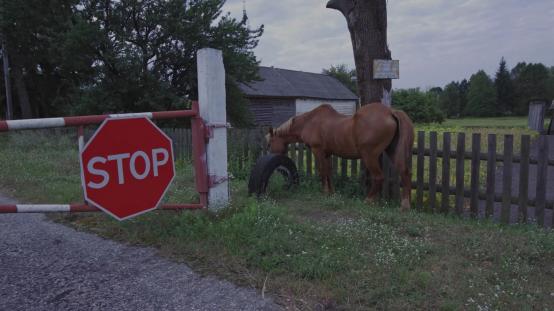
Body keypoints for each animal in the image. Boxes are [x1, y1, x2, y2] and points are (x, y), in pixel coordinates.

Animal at [266, 103, 412, 211]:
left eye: (270, 142)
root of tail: (390, 112)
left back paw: (368, 200)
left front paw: (325, 192)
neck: (309, 121)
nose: (272, 156)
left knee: (378, 177)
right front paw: (332, 192)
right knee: (405, 173)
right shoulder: (327, 154)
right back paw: (405, 206)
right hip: (392, 151)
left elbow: (322, 171)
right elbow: (329, 172)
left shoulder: (317, 151)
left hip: (369, 156)